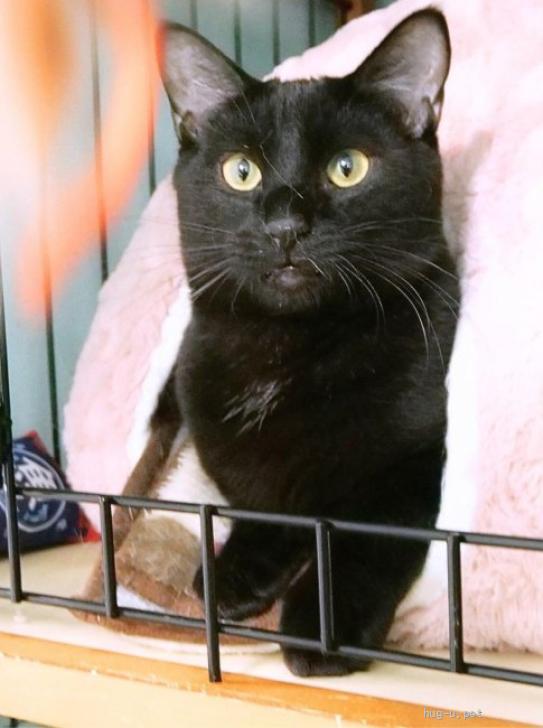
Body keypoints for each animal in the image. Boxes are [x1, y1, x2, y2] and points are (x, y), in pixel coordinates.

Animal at [157, 8, 459, 676]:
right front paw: (239, 571)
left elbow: (361, 535)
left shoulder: (418, 457)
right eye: (240, 171)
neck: (283, 348)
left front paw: (321, 626)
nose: (285, 226)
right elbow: (262, 495)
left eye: (348, 167)